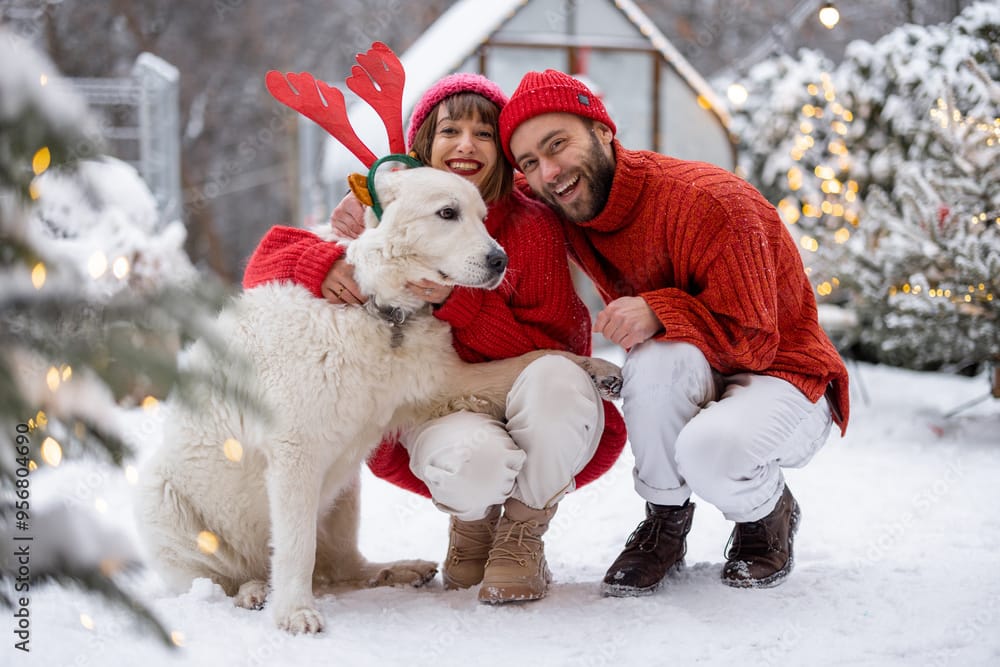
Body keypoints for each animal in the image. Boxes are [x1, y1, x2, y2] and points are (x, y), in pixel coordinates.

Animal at [131, 168, 616, 636]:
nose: (500, 261)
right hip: (165, 501)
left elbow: (540, 355)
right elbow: (295, 546)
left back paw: (398, 570)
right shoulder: (294, 453)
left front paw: (597, 367)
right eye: (447, 213)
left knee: (345, 567)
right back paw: (253, 590)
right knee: (219, 580)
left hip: (345, 491)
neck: (379, 310)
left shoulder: (441, 382)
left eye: (482, 216)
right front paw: (295, 613)